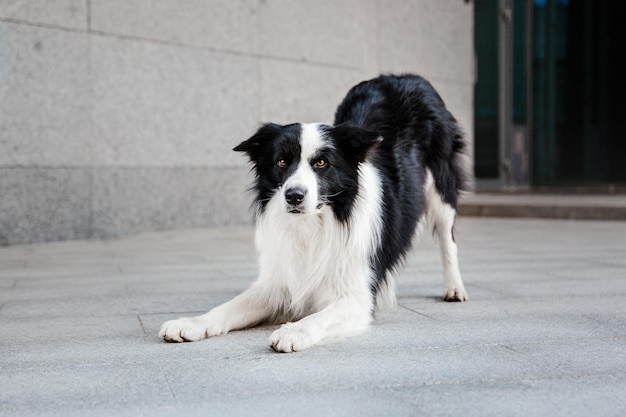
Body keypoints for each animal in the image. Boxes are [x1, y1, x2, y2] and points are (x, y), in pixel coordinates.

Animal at [158, 74, 466, 352]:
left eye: (321, 163)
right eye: (282, 162)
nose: (294, 196)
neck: (311, 225)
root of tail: (405, 76)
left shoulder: (356, 298)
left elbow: (321, 316)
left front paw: (294, 331)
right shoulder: (278, 282)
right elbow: (229, 307)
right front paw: (191, 323)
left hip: (440, 186)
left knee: (448, 238)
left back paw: (454, 288)